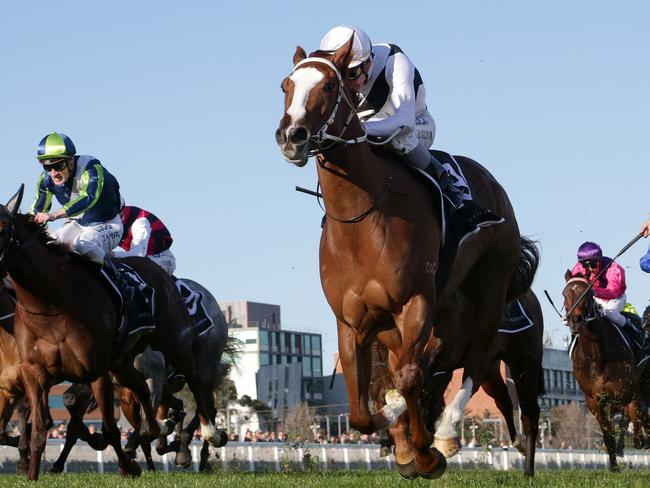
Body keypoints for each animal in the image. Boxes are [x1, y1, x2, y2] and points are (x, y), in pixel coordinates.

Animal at [0, 187, 225, 480]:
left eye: (2, 228)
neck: (50, 304)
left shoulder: (99, 371)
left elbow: (110, 428)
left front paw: (128, 465)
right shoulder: (35, 374)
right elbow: (42, 427)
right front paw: (34, 473)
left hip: (180, 346)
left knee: (199, 390)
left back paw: (206, 437)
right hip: (122, 364)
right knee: (155, 401)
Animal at [274, 39, 536, 480]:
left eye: (329, 85)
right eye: (286, 85)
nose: (292, 135)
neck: (362, 218)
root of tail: (493, 185)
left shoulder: (415, 302)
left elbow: (412, 377)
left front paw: (427, 454)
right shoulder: (354, 321)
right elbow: (363, 408)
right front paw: (396, 436)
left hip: (490, 291)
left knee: (475, 364)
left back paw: (445, 433)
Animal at [560, 272, 648, 470]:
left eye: (587, 293)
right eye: (564, 293)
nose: (575, 320)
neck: (597, 355)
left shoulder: (629, 393)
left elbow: (636, 425)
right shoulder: (595, 400)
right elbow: (608, 436)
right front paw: (614, 467)